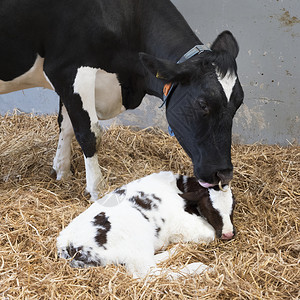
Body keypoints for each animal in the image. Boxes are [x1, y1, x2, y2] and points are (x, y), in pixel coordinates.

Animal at [0, 0, 244, 199]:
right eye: (203, 104)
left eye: (238, 103)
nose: (224, 174)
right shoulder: (69, 69)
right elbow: (89, 133)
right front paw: (97, 190)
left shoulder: (67, 81)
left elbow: (66, 126)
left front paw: (62, 172)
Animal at [57, 171, 236, 278]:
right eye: (210, 208)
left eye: (232, 207)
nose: (228, 233)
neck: (177, 187)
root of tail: (67, 247)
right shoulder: (186, 223)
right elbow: (209, 234)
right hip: (136, 241)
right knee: (148, 272)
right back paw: (198, 267)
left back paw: (176, 250)